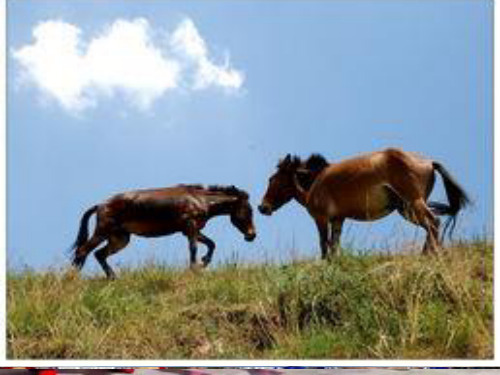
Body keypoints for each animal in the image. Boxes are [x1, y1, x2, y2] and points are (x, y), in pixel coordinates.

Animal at [72, 185, 256, 280]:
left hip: (120, 239)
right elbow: (194, 248)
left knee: (99, 254)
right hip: (103, 232)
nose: (252, 235)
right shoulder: (190, 227)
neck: (200, 199)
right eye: (248, 211)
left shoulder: (191, 230)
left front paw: (204, 262)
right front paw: (195, 268)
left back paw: (112, 278)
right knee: (83, 251)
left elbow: (211, 244)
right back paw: (72, 279)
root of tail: (100, 205)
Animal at [260, 148, 470, 260]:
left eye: (273, 179)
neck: (316, 181)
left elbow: (324, 244)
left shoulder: (321, 218)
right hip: (407, 209)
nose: (263, 207)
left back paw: (431, 256)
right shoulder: (338, 220)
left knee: (433, 223)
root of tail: (429, 162)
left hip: (414, 203)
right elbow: (334, 245)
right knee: (430, 227)